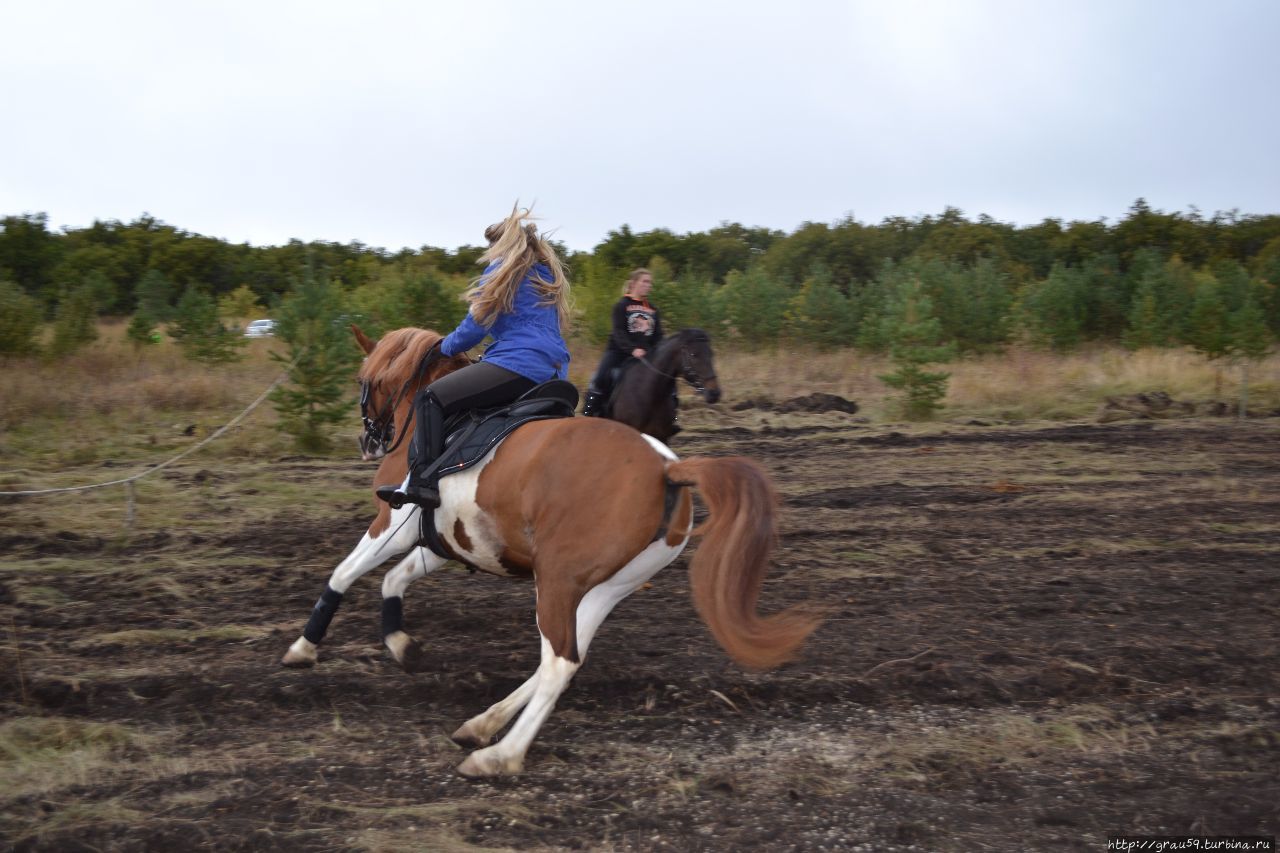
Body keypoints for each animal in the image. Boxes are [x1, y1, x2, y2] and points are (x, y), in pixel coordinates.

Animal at [282, 325, 819, 778]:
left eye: (364, 379)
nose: (369, 439)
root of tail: (668, 468)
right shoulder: (447, 542)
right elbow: (395, 579)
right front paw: (400, 642)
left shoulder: (393, 522)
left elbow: (345, 572)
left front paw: (305, 647)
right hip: (602, 590)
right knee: (561, 660)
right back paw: (483, 724)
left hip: (557, 580)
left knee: (559, 661)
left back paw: (499, 755)